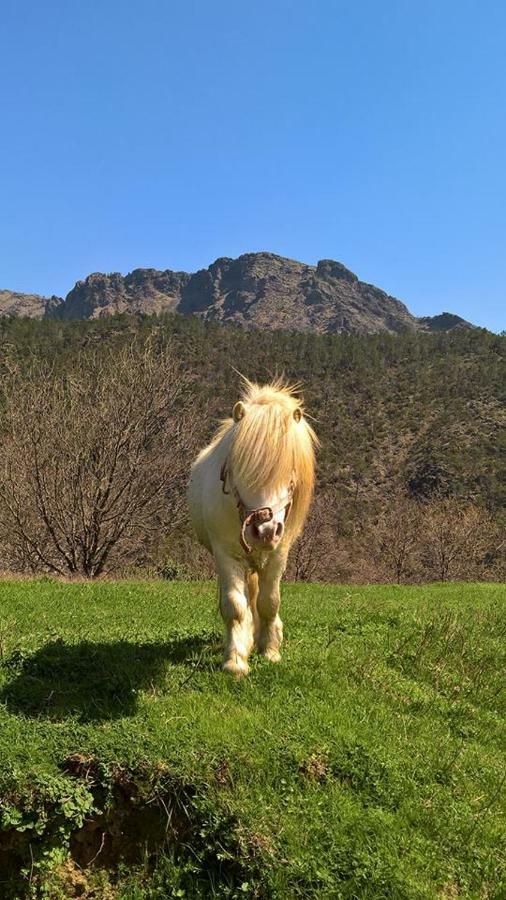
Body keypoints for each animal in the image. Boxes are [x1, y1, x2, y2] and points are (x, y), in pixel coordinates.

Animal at [188, 378, 318, 676]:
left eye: (290, 474)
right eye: (240, 469)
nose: (265, 531)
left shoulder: (278, 556)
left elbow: (269, 603)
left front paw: (270, 650)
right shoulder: (226, 555)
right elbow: (235, 606)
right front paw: (236, 660)